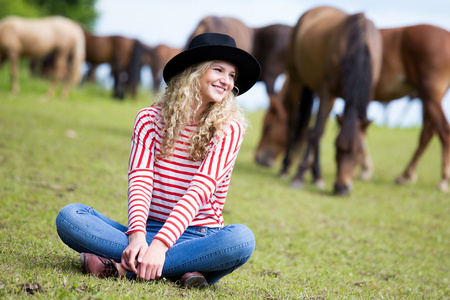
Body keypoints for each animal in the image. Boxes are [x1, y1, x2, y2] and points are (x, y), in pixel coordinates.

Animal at [255, 5, 382, 196]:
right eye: (337, 148)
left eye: (359, 151)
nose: (341, 188)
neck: (357, 42)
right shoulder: (328, 92)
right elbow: (316, 132)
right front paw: (299, 176)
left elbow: (321, 132)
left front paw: (317, 176)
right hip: (297, 80)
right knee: (295, 124)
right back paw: (286, 169)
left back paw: (315, 174)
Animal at [255, 22, 450, 193]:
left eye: (268, 127)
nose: (258, 158)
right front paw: (363, 169)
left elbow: (313, 129)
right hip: (429, 97)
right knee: (428, 132)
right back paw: (406, 175)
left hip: (430, 94)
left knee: (442, 130)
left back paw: (442, 180)